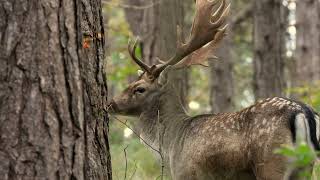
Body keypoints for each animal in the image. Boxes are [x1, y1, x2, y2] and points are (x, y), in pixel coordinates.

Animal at [108, 0, 320, 179]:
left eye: (139, 89)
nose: (111, 103)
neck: (171, 144)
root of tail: (302, 110)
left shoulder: (185, 173)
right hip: (304, 166)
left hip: (270, 163)